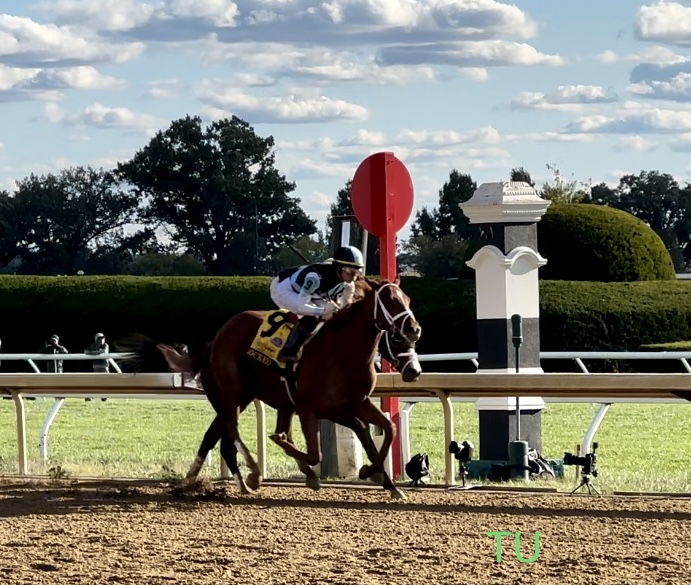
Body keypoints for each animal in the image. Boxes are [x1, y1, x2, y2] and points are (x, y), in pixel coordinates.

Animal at [144, 276, 422, 500]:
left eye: (407, 299)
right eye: (390, 300)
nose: (414, 329)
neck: (342, 353)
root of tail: (215, 340)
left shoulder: (353, 403)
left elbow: (387, 428)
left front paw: (382, 479)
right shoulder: (310, 408)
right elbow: (315, 453)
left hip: (242, 396)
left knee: (216, 434)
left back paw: (200, 481)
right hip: (232, 389)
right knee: (231, 429)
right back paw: (253, 472)